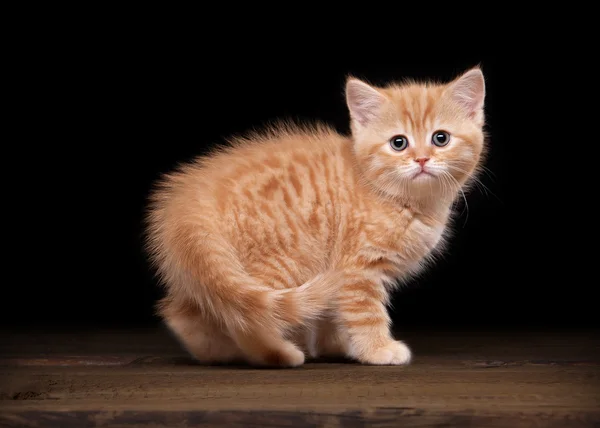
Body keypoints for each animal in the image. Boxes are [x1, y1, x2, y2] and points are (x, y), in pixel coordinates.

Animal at [144, 67, 488, 368]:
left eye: (441, 138)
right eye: (398, 142)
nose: (422, 160)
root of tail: (189, 205)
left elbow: (332, 314)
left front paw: (337, 346)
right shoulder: (357, 267)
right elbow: (365, 311)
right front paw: (377, 349)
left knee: (183, 312)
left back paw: (220, 353)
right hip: (283, 259)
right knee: (247, 315)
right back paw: (277, 354)